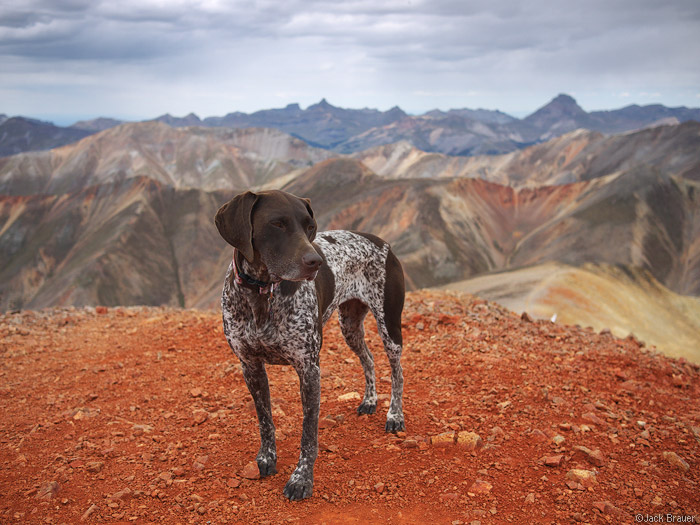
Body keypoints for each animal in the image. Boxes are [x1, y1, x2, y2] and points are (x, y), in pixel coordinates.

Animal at [216, 190, 408, 502]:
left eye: (309, 226)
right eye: (277, 224)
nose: (316, 262)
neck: (262, 293)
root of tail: (382, 242)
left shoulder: (308, 369)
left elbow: (308, 433)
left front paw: (301, 479)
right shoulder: (250, 366)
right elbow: (265, 420)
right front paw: (267, 459)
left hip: (389, 325)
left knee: (397, 372)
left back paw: (394, 415)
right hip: (349, 326)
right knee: (368, 359)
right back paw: (369, 400)